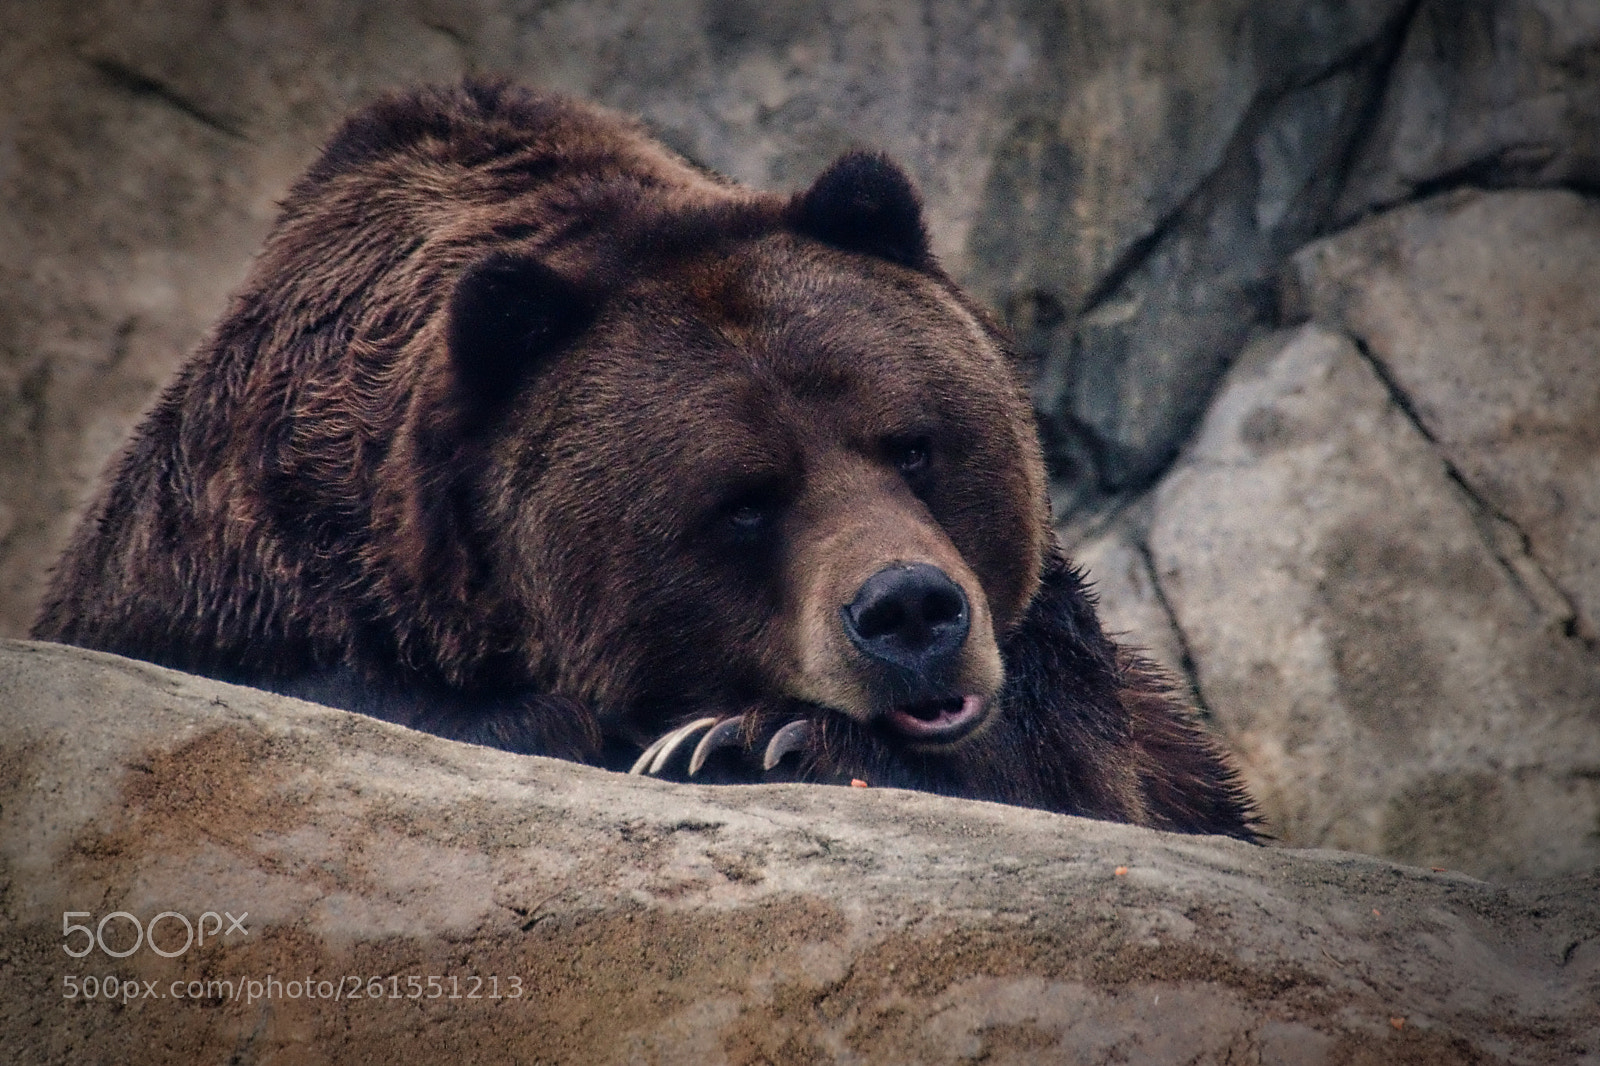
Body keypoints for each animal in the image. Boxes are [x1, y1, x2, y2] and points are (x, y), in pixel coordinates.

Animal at [34, 78, 1255, 838]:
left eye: (913, 443)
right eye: (744, 500)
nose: (910, 610)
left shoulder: (1089, 698)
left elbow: (1108, 770)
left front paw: (746, 740)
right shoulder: (223, 572)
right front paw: (711, 737)